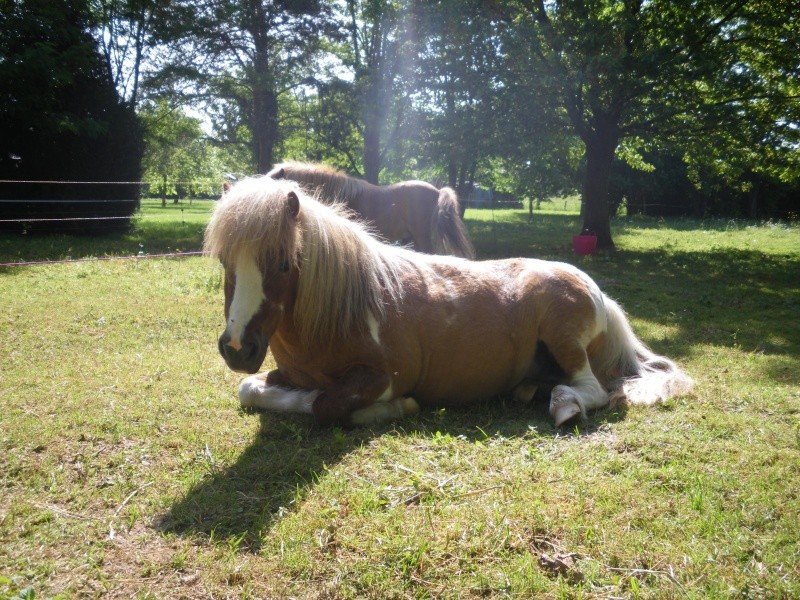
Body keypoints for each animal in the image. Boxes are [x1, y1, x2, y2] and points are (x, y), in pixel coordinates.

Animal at [203, 177, 692, 426]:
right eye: (225, 259)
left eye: (284, 263)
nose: (238, 348)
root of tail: (599, 292)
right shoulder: (285, 374)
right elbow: (251, 391)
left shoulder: (382, 375)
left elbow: (326, 405)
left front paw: (394, 409)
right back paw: (531, 390)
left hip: (563, 336)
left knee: (594, 389)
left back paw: (564, 405)